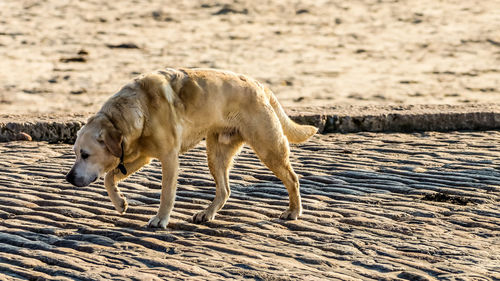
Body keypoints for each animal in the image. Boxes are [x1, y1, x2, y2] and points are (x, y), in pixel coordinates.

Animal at [66, 68, 316, 228]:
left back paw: (294, 211)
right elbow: (109, 177)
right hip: (216, 153)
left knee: (292, 178)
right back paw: (207, 213)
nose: (68, 178)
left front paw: (160, 219)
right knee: (224, 190)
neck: (137, 110)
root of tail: (260, 86)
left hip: (268, 147)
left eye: (85, 155)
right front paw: (120, 203)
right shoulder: (141, 157)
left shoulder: (169, 157)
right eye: (76, 154)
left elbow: (166, 193)